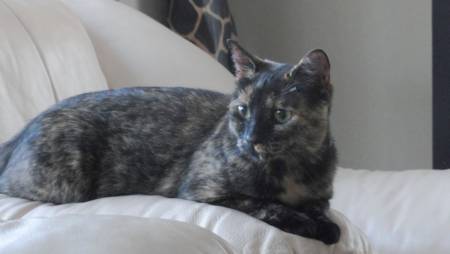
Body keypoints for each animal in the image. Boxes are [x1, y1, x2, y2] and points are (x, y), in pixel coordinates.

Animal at [0, 40, 338, 245]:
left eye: (281, 115)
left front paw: (325, 225)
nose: (250, 138)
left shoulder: (320, 196)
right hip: (64, 178)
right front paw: (304, 223)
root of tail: (25, 126)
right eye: (243, 110)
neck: (290, 169)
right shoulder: (204, 190)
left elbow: (323, 210)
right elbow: (262, 203)